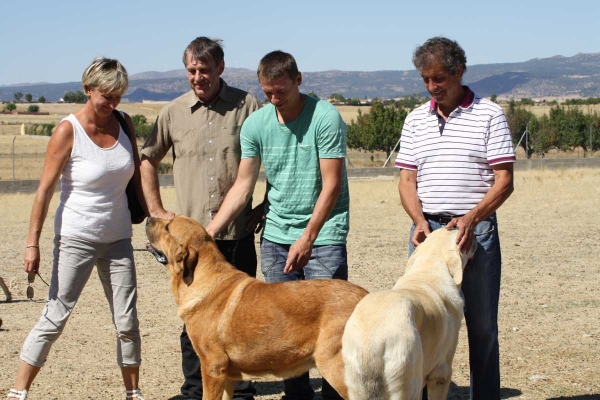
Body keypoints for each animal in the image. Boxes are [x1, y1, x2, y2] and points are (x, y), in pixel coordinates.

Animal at [148, 216, 368, 400]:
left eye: (167, 227)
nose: (149, 217)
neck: (201, 277)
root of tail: (365, 296)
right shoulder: (227, 375)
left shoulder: (213, 367)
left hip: (336, 367)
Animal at [342, 228, 478, 400]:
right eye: (464, 238)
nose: (475, 235)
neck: (429, 266)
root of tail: (371, 343)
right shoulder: (441, 373)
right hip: (408, 380)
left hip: (357, 385)